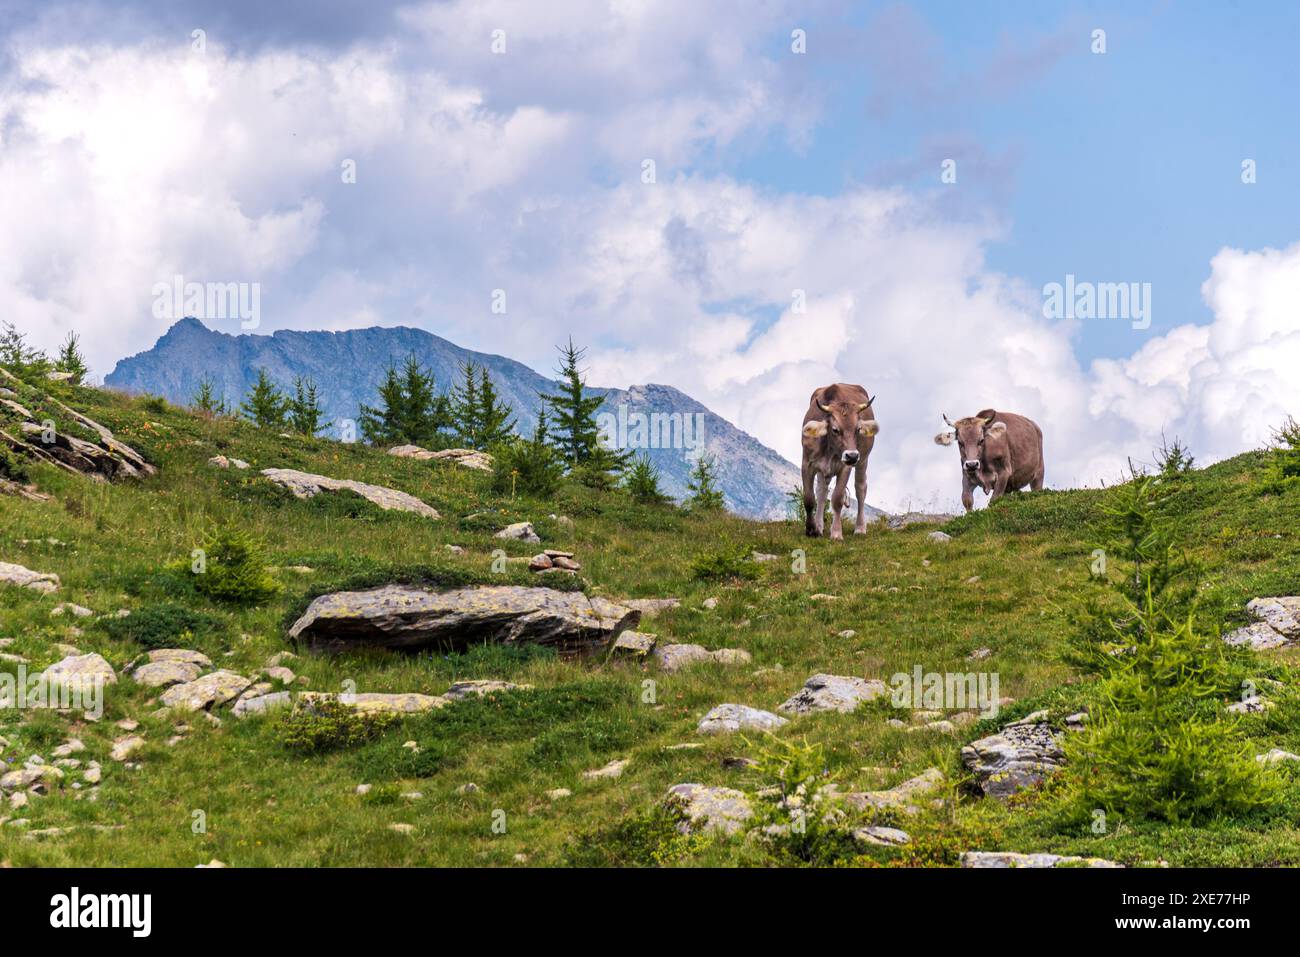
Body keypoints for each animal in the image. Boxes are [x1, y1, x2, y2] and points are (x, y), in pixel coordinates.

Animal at [801, 383, 879, 539]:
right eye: (835, 429)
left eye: (858, 429)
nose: (852, 456)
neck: (829, 448)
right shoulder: (807, 464)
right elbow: (809, 498)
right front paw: (811, 529)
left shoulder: (845, 467)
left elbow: (837, 499)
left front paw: (836, 533)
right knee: (822, 491)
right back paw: (819, 526)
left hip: (863, 460)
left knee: (860, 488)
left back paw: (860, 528)